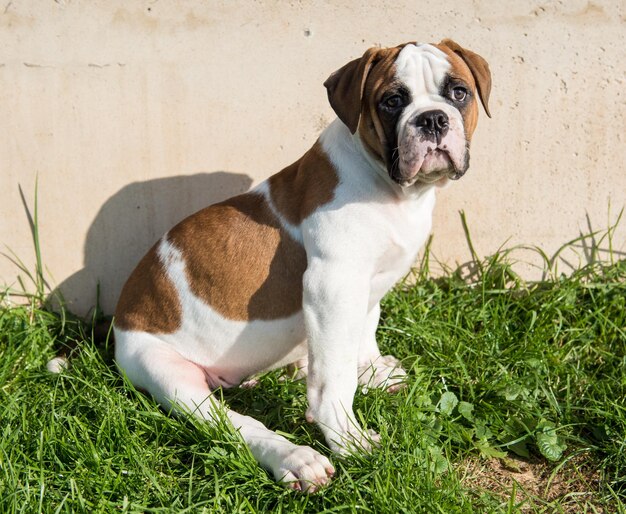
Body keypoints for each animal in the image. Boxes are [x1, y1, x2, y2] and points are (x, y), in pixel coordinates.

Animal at [114, 39, 490, 488]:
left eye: (459, 93)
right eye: (392, 101)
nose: (432, 119)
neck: (389, 186)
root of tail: (123, 314)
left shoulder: (366, 287)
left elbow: (362, 335)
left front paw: (372, 372)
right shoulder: (333, 286)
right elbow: (333, 380)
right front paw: (346, 437)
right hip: (167, 373)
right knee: (232, 423)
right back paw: (295, 458)